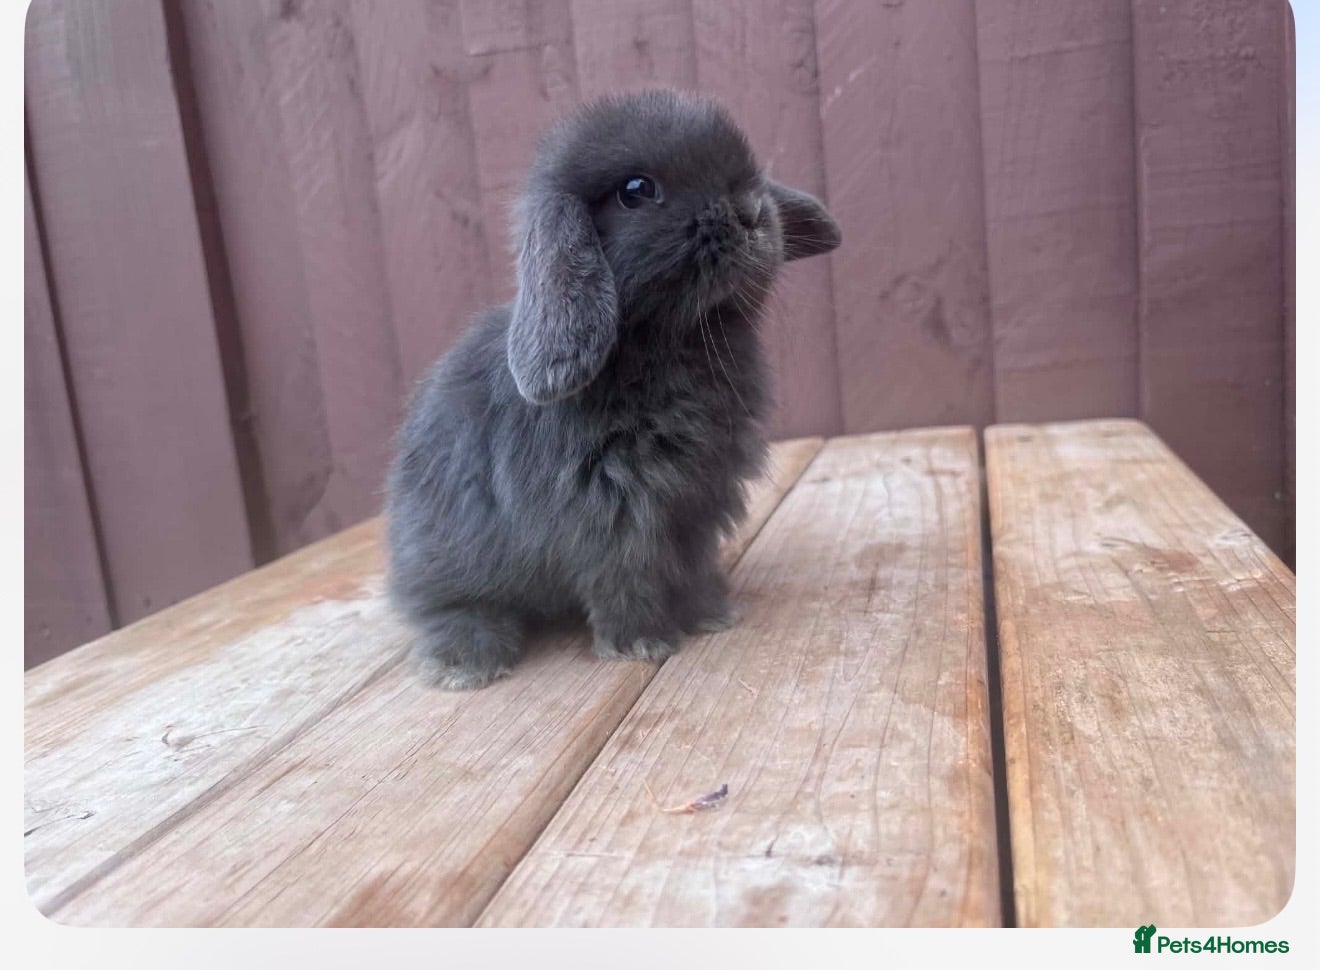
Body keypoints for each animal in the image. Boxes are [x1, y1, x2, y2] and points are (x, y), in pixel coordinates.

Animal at [385, 88, 840, 689]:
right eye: (636, 191)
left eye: (750, 175)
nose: (752, 213)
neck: (673, 343)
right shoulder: (612, 515)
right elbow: (626, 580)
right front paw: (640, 643)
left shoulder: (695, 505)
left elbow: (689, 567)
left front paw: (711, 615)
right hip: (446, 556)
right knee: (442, 607)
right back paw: (465, 662)